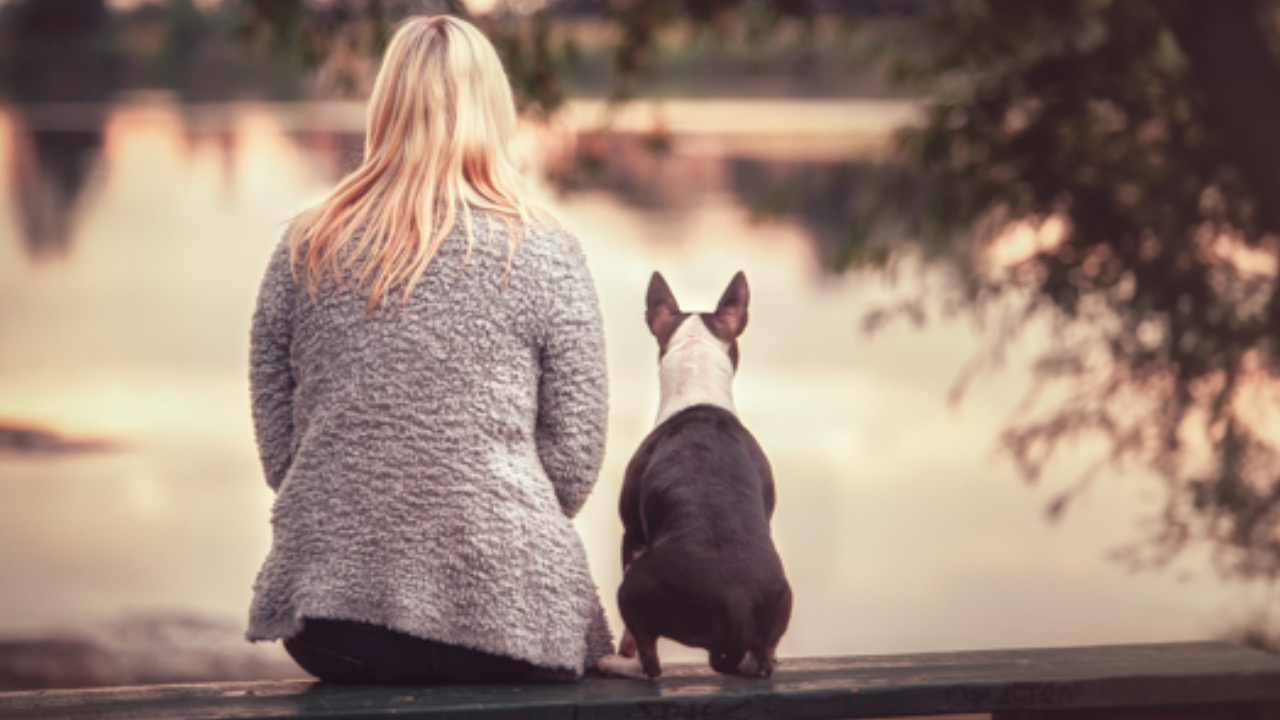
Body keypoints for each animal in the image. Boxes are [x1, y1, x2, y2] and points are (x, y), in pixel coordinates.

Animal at [599, 270, 788, 676]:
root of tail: (735, 608)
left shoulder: (631, 532)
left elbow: (630, 636)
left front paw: (622, 652)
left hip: (633, 588)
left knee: (650, 661)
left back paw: (616, 665)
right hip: (777, 608)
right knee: (763, 656)